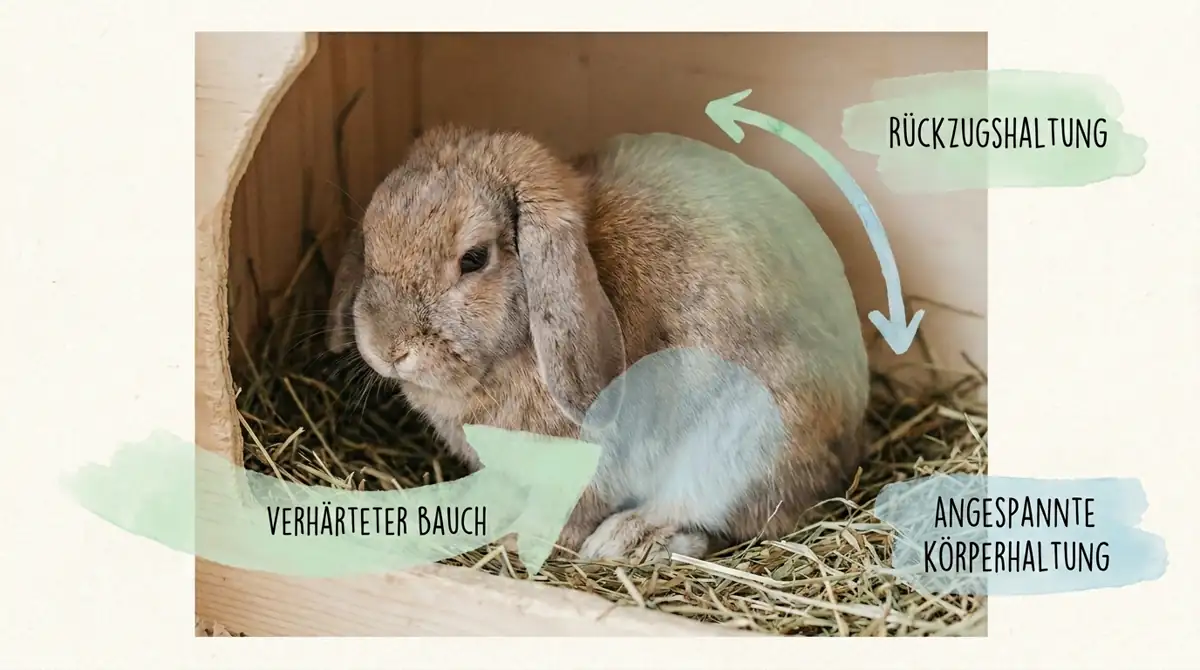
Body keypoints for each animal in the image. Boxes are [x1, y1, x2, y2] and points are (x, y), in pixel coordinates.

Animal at [325, 125, 870, 564]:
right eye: (369, 238)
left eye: (474, 258)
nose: (387, 348)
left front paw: (523, 540)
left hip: (743, 452)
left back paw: (625, 540)